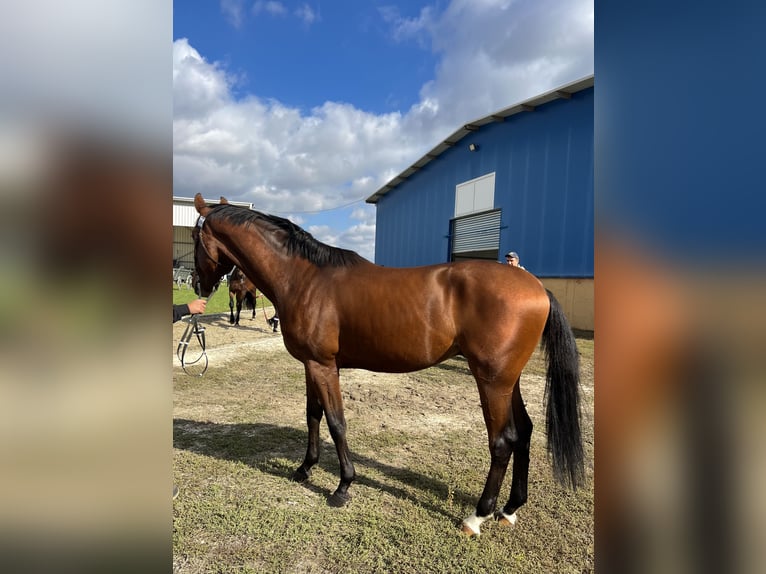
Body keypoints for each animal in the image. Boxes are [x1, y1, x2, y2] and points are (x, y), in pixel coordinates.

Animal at [191, 193, 584, 537]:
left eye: (195, 238)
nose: (197, 284)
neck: (304, 278)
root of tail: (537, 288)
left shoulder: (323, 366)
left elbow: (336, 422)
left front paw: (343, 486)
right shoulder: (311, 365)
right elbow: (313, 415)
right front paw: (304, 469)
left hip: (492, 381)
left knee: (503, 441)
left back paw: (477, 516)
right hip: (508, 380)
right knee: (526, 432)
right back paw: (510, 509)